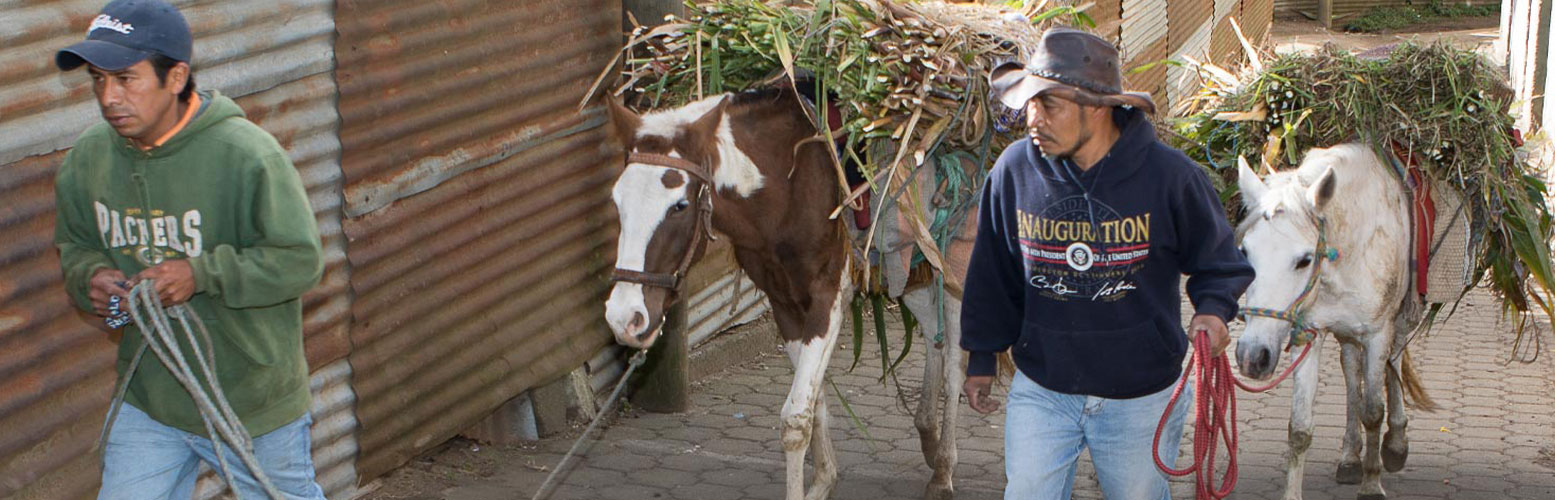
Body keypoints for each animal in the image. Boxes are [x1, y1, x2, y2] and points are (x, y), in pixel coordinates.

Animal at [597, 87, 970, 496]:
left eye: (679, 205)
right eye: (617, 201)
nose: (625, 317)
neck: (788, 183)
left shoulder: (828, 296)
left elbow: (795, 419)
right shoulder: (784, 302)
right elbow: (815, 401)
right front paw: (823, 480)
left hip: (957, 267)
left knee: (955, 361)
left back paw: (944, 469)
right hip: (909, 268)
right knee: (934, 338)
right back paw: (929, 437)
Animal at [1231, 144, 1436, 500]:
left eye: (1304, 260)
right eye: (1244, 252)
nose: (1251, 357)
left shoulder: (1377, 333)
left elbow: (1373, 411)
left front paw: (1372, 483)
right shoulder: (1310, 334)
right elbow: (1299, 427)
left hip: (1400, 318)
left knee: (1393, 361)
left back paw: (1395, 444)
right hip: (1347, 333)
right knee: (1352, 373)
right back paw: (1350, 457)